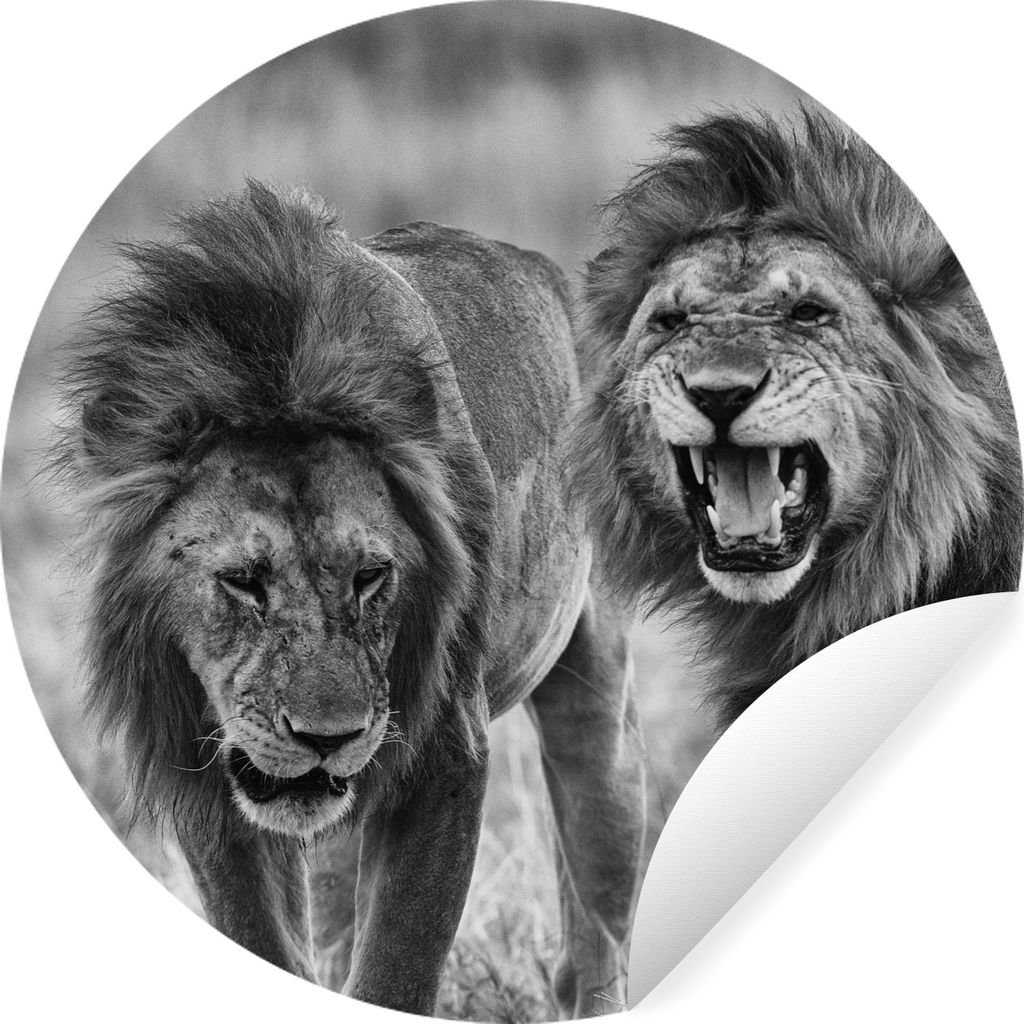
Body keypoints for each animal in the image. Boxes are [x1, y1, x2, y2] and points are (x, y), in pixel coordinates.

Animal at [55, 182, 646, 1017]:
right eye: (243, 581)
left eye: (371, 577)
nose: (328, 737)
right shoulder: (203, 766)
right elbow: (263, 938)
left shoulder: (445, 751)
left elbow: (398, 966)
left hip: (596, 710)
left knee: (596, 907)